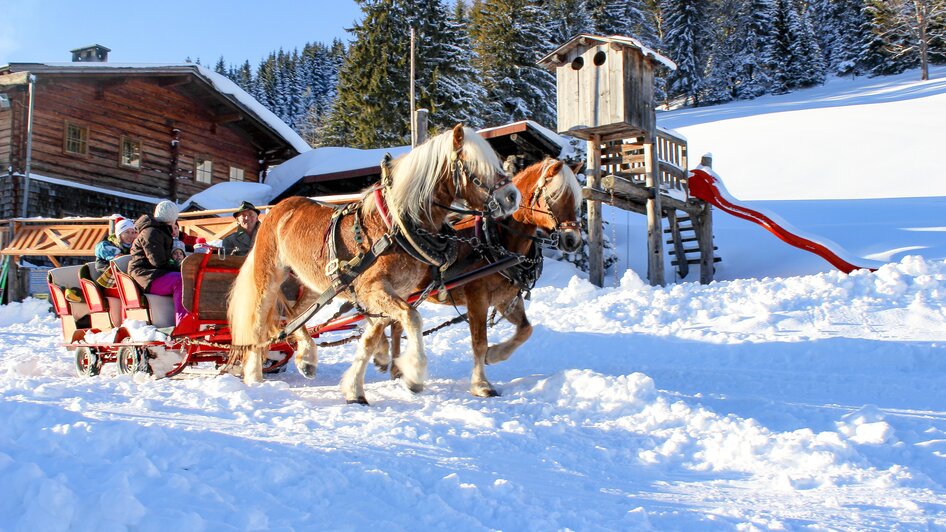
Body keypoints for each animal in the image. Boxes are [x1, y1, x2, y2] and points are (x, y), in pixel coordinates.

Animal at [230, 124, 524, 402]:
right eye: (475, 164)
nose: (512, 196)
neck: (395, 226)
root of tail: (279, 208)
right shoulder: (374, 289)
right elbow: (412, 318)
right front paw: (414, 373)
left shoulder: (390, 294)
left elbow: (371, 339)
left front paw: (355, 387)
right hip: (270, 277)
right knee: (258, 325)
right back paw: (254, 375)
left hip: (315, 284)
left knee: (294, 316)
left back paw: (307, 358)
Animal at [380, 157, 580, 394]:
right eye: (554, 197)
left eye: (576, 200)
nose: (573, 240)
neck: (495, 241)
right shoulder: (477, 298)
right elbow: (479, 342)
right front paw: (481, 384)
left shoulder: (505, 299)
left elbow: (526, 329)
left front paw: (495, 355)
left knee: (395, 325)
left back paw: (395, 367)